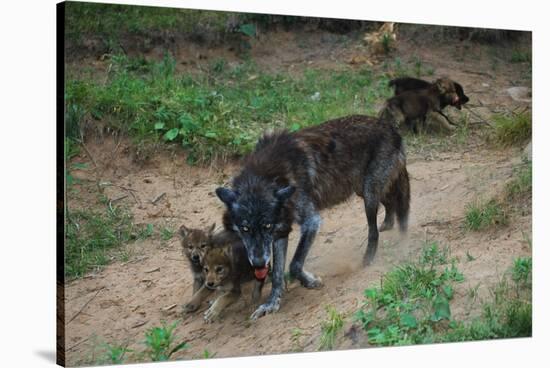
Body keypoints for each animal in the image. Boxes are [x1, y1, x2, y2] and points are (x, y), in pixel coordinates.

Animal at [216, 115, 410, 320]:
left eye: (267, 226)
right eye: (245, 229)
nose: (259, 263)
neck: (268, 176)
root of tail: (390, 127)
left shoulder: (311, 222)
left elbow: (294, 264)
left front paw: (310, 282)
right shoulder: (281, 232)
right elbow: (277, 274)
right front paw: (271, 304)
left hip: (369, 196)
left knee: (375, 230)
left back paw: (369, 259)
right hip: (363, 190)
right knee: (390, 204)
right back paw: (389, 224)